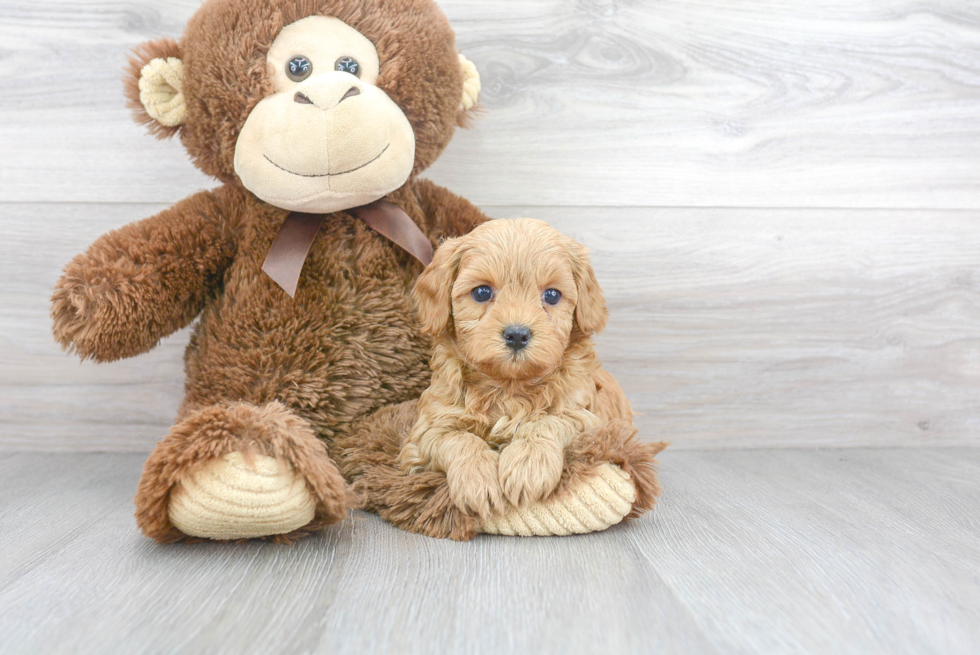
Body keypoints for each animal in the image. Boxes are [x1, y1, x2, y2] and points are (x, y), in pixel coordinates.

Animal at [398, 219, 636, 516]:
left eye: (552, 295)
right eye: (482, 292)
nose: (517, 335)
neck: (508, 387)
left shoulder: (588, 420)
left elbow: (548, 422)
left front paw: (528, 466)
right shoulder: (426, 430)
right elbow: (459, 438)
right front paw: (478, 480)